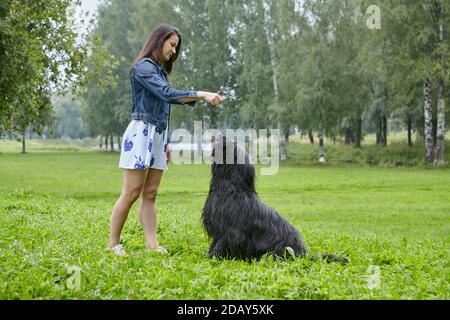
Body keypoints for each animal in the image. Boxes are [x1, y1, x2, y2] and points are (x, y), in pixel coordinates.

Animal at [202, 135, 346, 262]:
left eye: (232, 146)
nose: (222, 136)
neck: (231, 188)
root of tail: (302, 255)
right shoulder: (219, 232)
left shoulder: (229, 232)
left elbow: (220, 246)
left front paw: (212, 259)